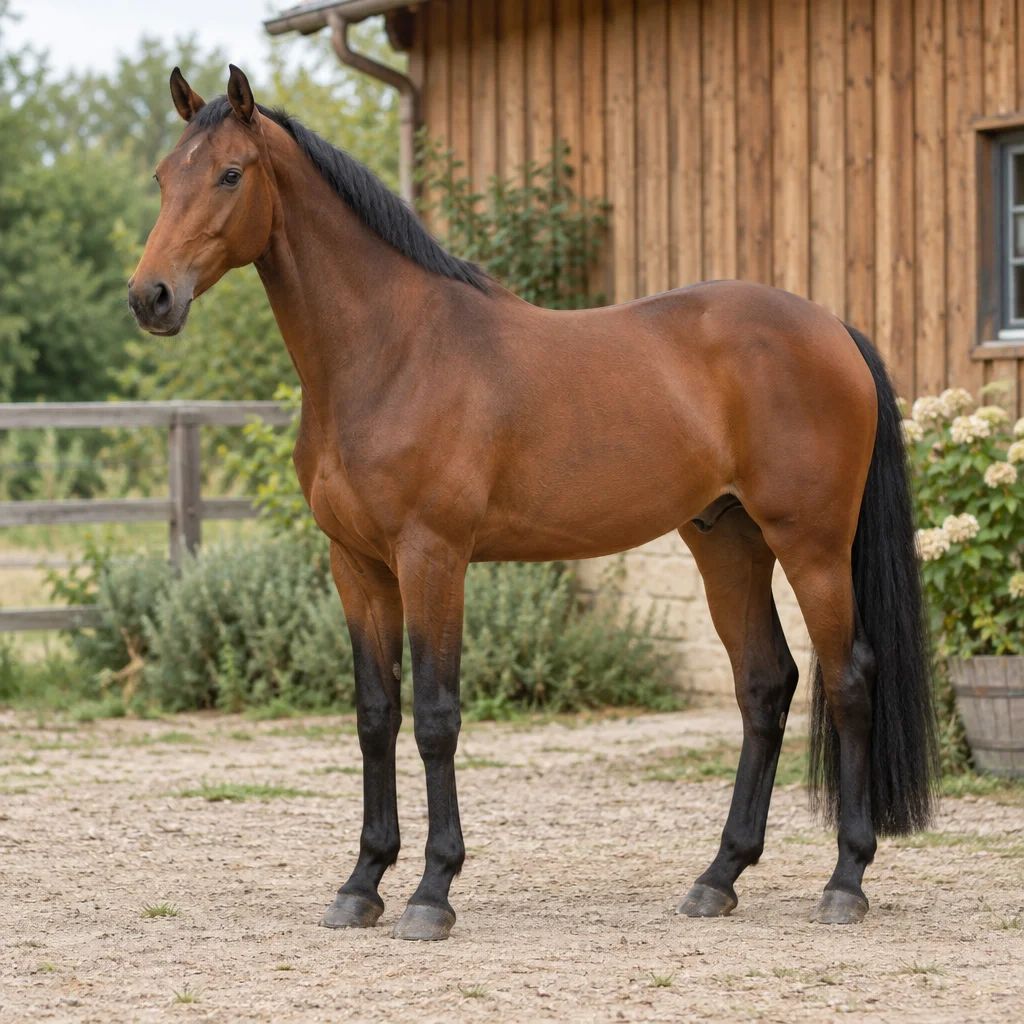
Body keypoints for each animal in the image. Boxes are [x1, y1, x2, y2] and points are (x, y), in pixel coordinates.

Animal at [128, 65, 937, 941]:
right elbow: (376, 715)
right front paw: (362, 883)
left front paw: (431, 891)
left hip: (812, 544)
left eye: (230, 174)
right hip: (727, 542)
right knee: (765, 684)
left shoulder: (433, 557)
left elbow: (436, 716)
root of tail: (832, 329)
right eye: (163, 177)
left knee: (848, 679)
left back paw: (846, 880)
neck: (391, 353)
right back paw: (718, 876)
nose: (151, 297)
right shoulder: (358, 566)